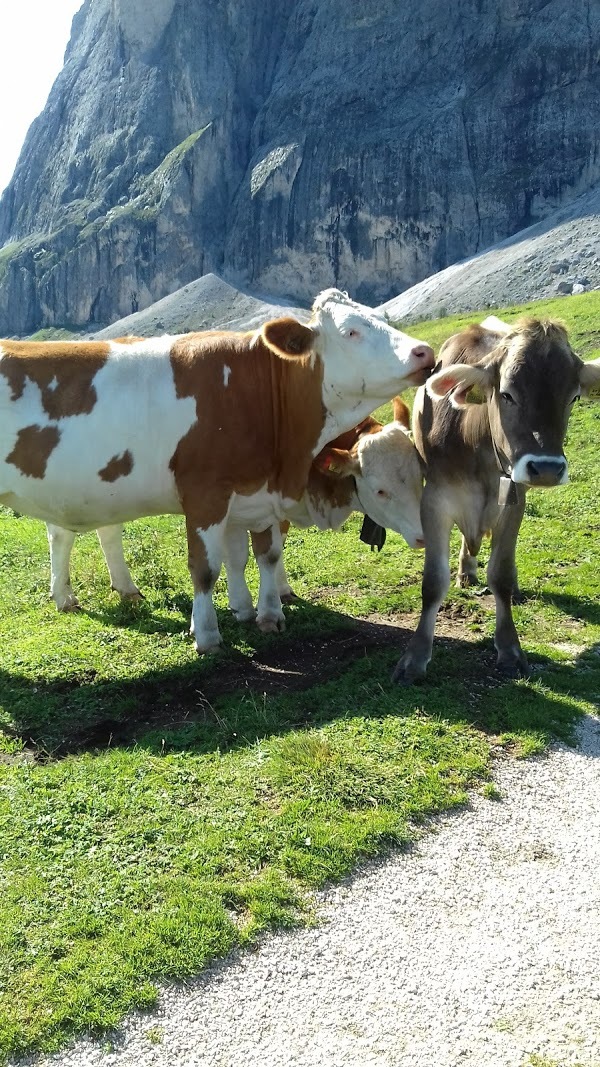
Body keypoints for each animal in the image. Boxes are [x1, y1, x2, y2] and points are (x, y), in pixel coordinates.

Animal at [0, 288, 431, 648]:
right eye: (350, 331)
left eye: (419, 478)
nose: (424, 352)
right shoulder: (206, 495)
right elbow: (206, 567)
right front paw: (207, 633)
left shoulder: (254, 492)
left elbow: (260, 555)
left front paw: (264, 612)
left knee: (80, 531)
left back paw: (95, 593)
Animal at [390, 315, 597, 682]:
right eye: (506, 394)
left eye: (573, 397)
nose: (546, 468)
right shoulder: (434, 500)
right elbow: (433, 582)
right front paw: (414, 659)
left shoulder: (513, 503)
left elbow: (499, 576)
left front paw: (510, 649)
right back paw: (466, 571)